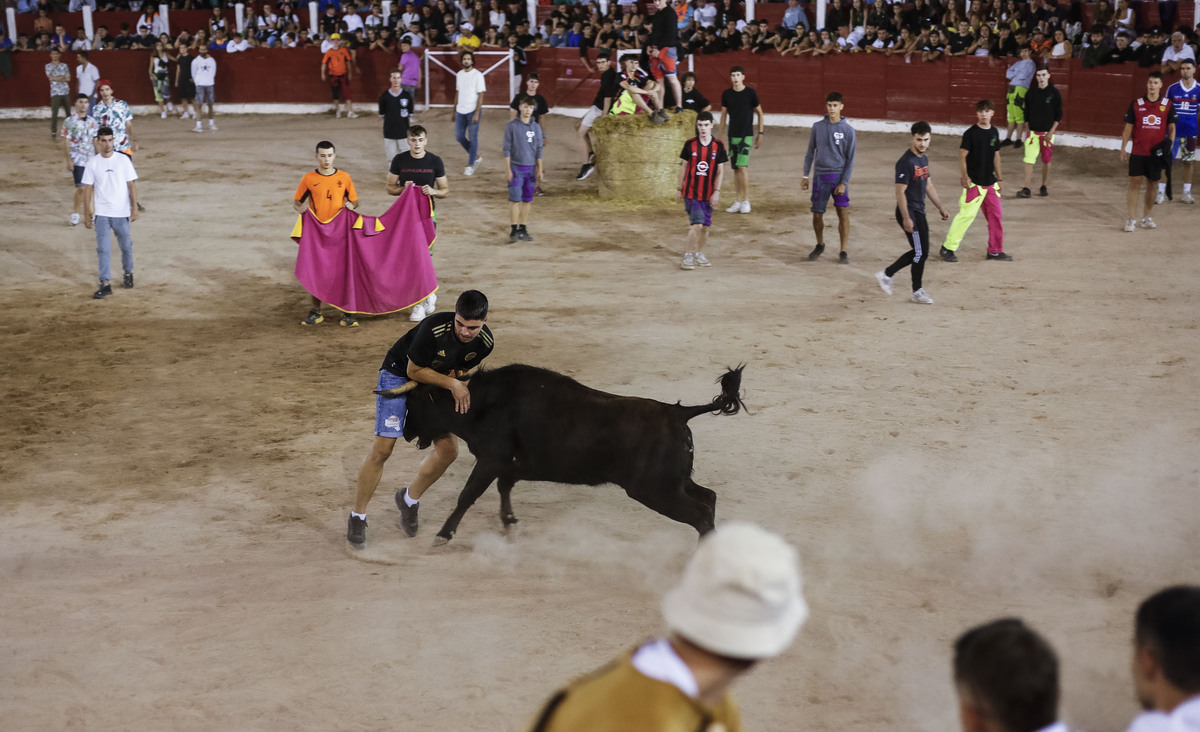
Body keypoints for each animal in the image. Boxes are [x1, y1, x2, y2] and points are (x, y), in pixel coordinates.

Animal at [398, 364, 744, 542]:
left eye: (414, 402)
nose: (404, 432)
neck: (486, 403)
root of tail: (678, 412)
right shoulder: (508, 466)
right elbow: (503, 487)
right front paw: (509, 521)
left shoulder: (490, 460)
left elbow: (468, 495)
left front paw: (444, 533)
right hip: (674, 483)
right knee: (708, 498)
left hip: (655, 489)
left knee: (700, 513)